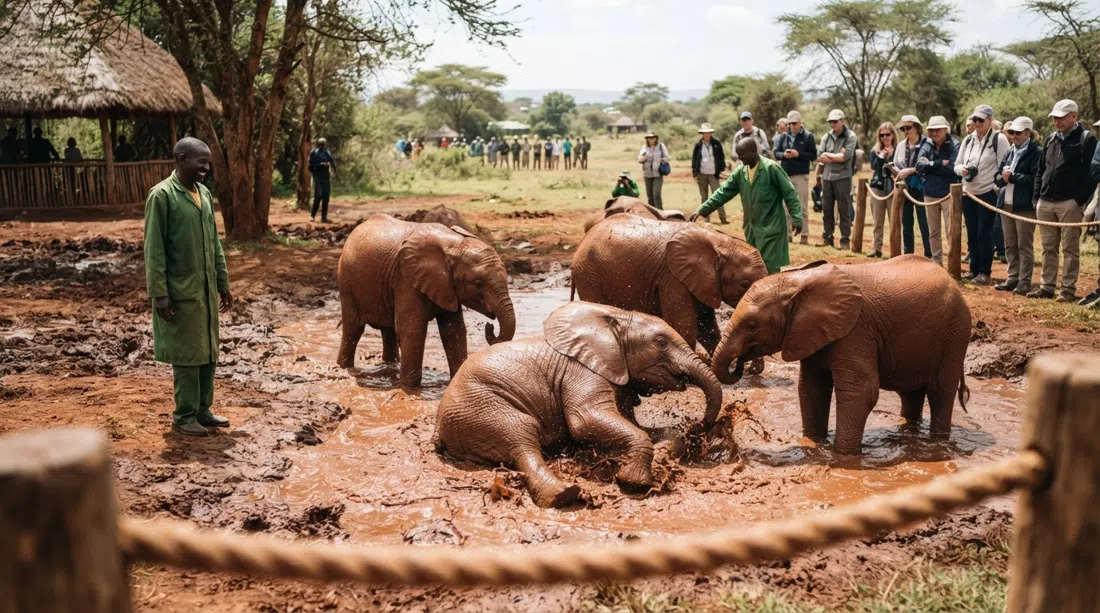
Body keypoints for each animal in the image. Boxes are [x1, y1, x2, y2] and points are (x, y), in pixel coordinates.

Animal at [337, 214, 516, 387]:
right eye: (478, 283)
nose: (489, 326)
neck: (454, 244)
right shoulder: (406, 280)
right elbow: (412, 329)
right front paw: (410, 388)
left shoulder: (446, 287)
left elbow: (453, 329)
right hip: (346, 283)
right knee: (353, 329)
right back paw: (343, 367)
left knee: (387, 330)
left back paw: (389, 366)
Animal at [433, 301, 723, 508]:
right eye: (661, 343)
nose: (701, 424)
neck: (614, 318)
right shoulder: (581, 371)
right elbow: (584, 420)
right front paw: (633, 481)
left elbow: (632, 424)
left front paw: (663, 450)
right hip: (481, 406)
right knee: (521, 434)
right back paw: (563, 495)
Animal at [571, 214, 768, 356]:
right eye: (744, 284)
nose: (754, 370)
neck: (721, 242)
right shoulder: (672, 277)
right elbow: (683, 324)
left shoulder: (702, 281)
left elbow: (706, 325)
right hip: (589, 274)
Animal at [711, 255, 972, 455]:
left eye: (752, 326)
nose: (741, 364)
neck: (798, 282)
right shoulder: (811, 332)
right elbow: (811, 388)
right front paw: (814, 443)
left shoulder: (855, 330)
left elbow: (861, 391)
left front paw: (843, 456)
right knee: (910, 394)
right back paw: (909, 432)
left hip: (955, 335)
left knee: (940, 391)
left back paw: (938, 442)